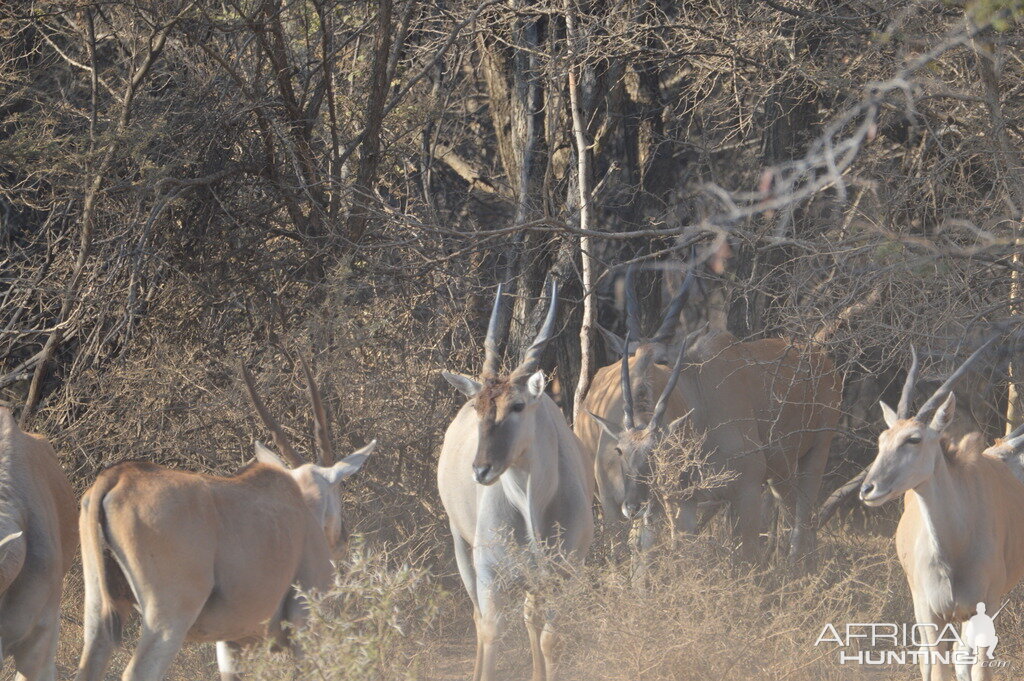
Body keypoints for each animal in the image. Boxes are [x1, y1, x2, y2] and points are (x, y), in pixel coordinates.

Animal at [74, 356, 376, 679]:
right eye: (338, 487)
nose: (343, 537)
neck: (301, 504)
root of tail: (117, 477)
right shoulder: (302, 621)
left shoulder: (231, 643)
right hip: (168, 619)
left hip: (98, 612)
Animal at [438, 278, 598, 679]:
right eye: (479, 407)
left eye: (518, 405)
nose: (481, 470)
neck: (533, 505)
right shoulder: (490, 571)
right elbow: (492, 630)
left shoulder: (565, 571)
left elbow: (550, 639)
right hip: (461, 546)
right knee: (479, 619)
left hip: (534, 580)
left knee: (530, 619)